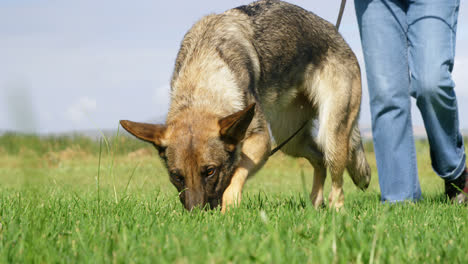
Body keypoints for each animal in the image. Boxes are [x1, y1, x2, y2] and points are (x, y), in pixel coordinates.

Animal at [119, 0, 370, 210]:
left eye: (210, 171)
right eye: (177, 176)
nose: (196, 214)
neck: (202, 81)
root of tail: (338, 35)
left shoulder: (261, 142)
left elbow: (234, 180)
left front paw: (229, 210)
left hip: (332, 134)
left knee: (336, 180)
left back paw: (336, 212)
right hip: (291, 139)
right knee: (318, 159)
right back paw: (315, 205)